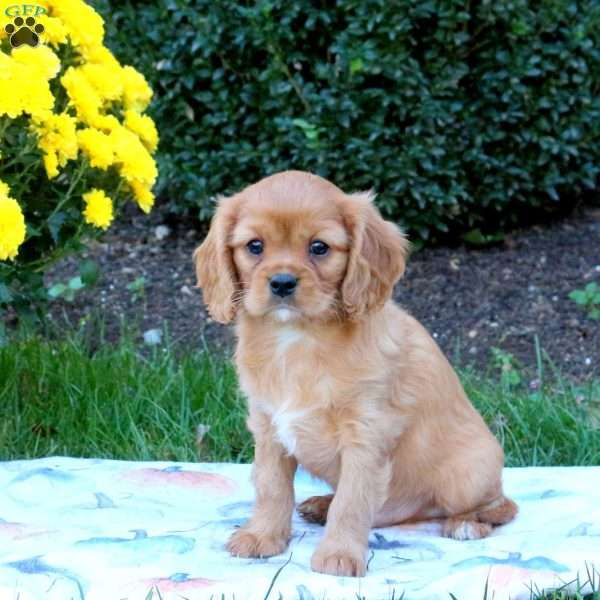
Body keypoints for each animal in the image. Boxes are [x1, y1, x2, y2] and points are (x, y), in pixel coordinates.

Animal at [195, 169, 516, 576]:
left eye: (319, 247)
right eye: (254, 246)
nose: (282, 282)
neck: (297, 338)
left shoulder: (366, 435)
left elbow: (352, 502)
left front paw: (339, 555)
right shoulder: (268, 428)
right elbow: (271, 487)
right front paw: (262, 536)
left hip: (469, 475)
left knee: (499, 506)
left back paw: (465, 524)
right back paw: (321, 505)